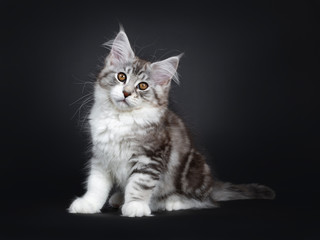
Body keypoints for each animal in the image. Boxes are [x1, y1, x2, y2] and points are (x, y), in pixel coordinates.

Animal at [67, 28, 276, 218]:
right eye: (121, 77)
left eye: (142, 86)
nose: (126, 93)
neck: (120, 118)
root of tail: (211, 187)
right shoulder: (101, 156)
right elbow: (96, 184)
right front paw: (89, 204)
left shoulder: (150, 157)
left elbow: (139, 184)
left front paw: (135, 206)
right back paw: (119, 197)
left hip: (193, 169)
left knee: (204, 201)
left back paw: (172, 202)